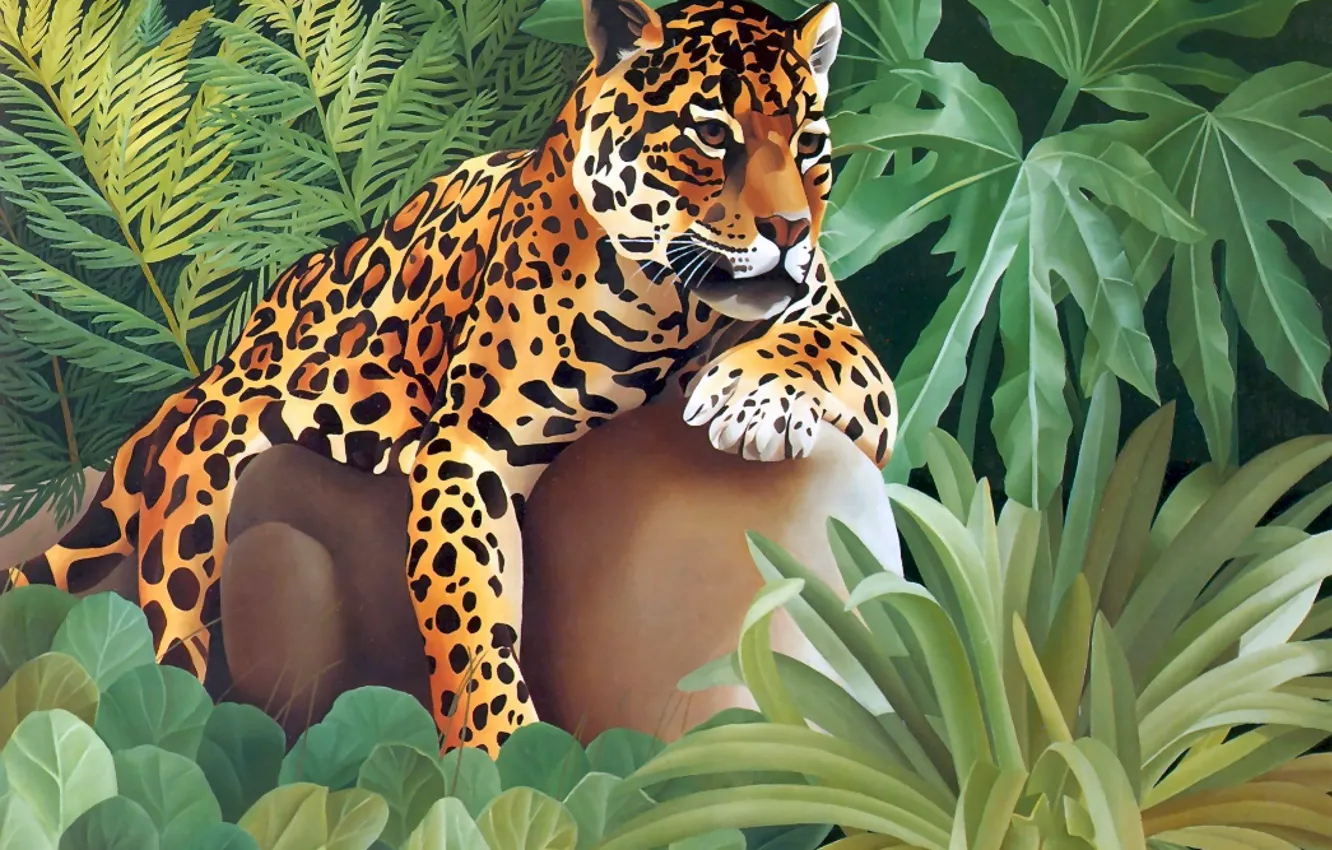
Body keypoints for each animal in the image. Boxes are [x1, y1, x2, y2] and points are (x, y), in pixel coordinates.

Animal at [13, 0, 898, 755]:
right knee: (169, 619)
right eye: (712, 134)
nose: (791, 230)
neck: (676, 309)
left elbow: (828, 349)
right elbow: (468, 613)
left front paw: (753, 397)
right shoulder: (471, 449)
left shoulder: (858, 368)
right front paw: (499, 746)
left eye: (811, 145)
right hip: (211, 468)